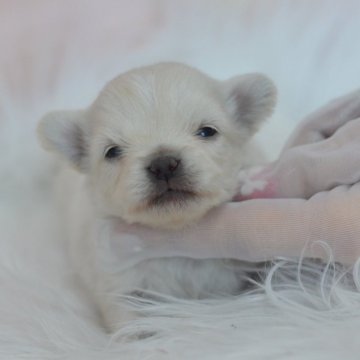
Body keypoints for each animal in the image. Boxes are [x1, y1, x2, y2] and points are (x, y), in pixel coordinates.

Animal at [37, 63, 276, 330]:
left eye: (207, 132)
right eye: (112, 151)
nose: (163, 164)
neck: (178, 237)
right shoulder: (120, 285)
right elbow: (133, 324)